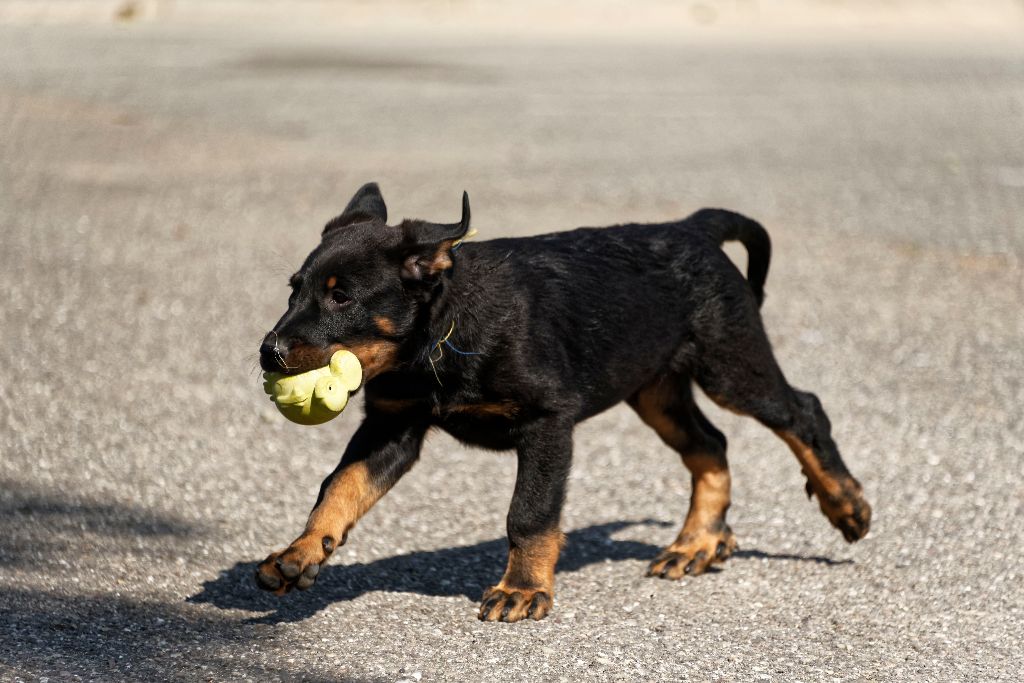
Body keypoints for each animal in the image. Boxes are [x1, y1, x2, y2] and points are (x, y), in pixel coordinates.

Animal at [251, 184, 868, 622]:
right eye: (294, 289)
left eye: (341, 296)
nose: (267, 352)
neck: (440, 337)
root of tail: (690, 226)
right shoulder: (392, 427)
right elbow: (341, 487)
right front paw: (300, 553)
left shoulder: (547, 423)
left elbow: (530, 513)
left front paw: (522, 589)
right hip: (655, 389)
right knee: (710, 445)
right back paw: (697, 542)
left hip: (730, 365)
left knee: (802, 412)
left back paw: (845, 504)